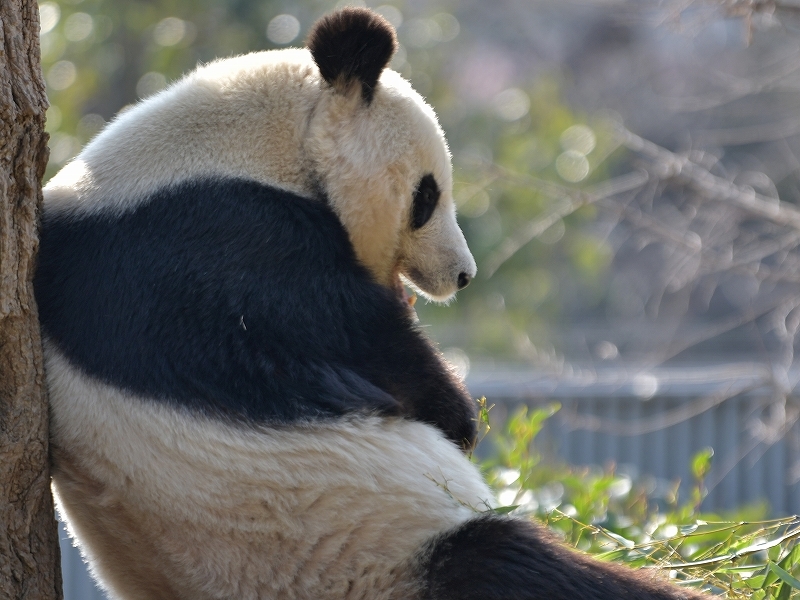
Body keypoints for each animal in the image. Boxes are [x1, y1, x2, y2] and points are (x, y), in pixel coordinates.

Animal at [34, 8, 708, 600]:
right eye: (427, 195)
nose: (462, 275)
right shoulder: (231, 244)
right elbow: (376, 351)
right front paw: (459, 415)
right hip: (368, 549)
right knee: (506, 565)